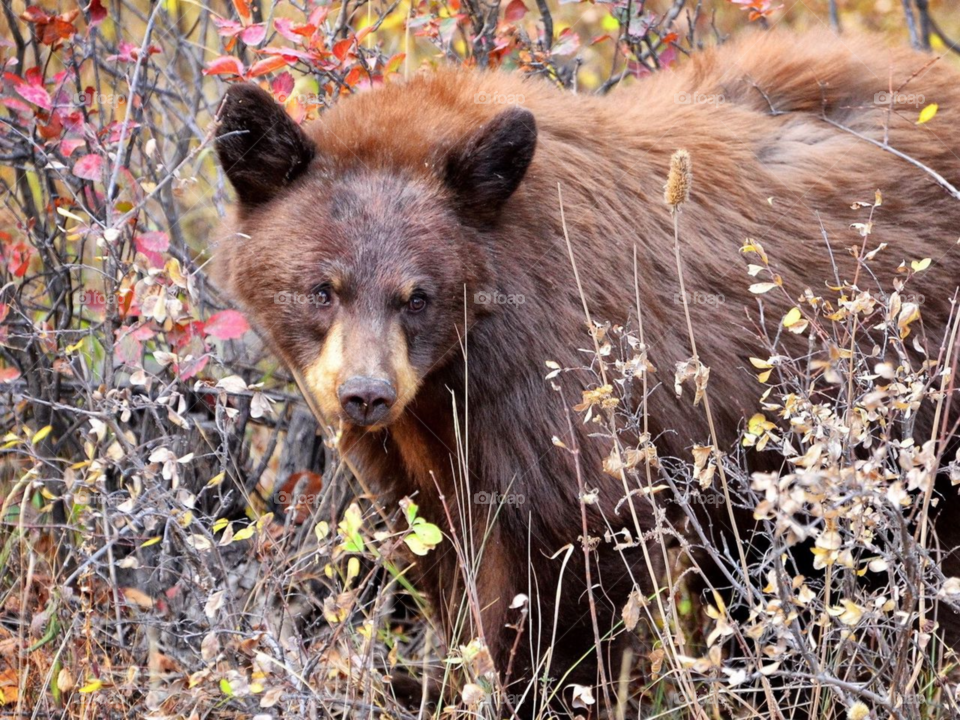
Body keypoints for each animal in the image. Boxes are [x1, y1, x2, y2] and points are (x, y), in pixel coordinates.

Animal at [214, 28, 960, 717]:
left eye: (417, 296)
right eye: (322, 289)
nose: (365, 396)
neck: (460, 366)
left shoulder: (564, 378)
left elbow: (571, 556)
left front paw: (534, 690)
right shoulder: (419, 448)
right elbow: (442, 549)